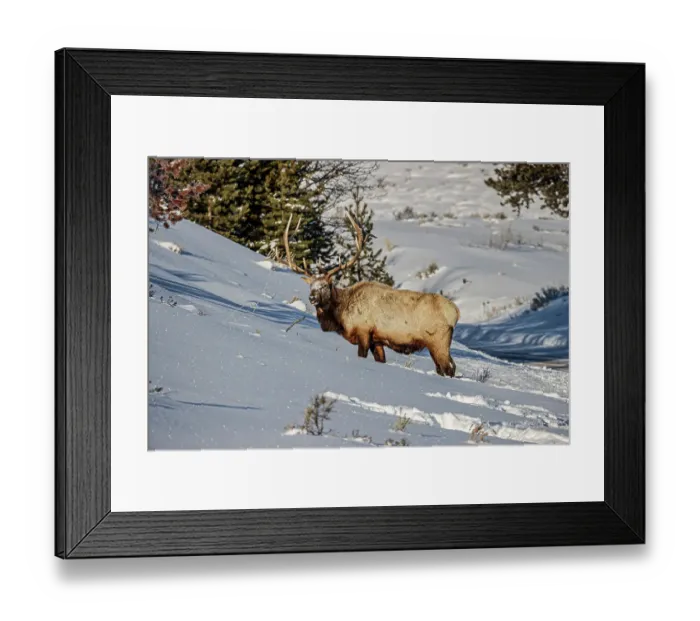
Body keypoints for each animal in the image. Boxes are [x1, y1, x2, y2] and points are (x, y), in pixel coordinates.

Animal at [283, 211, 460, 377]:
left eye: (325, 286)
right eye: (311, 286)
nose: (312, 298)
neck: (341, 316)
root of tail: (455, 312)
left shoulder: (364, 331)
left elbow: (362, 355)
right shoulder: (377, 340)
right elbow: (380, 359)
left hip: (438, 341)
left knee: (449, 368)